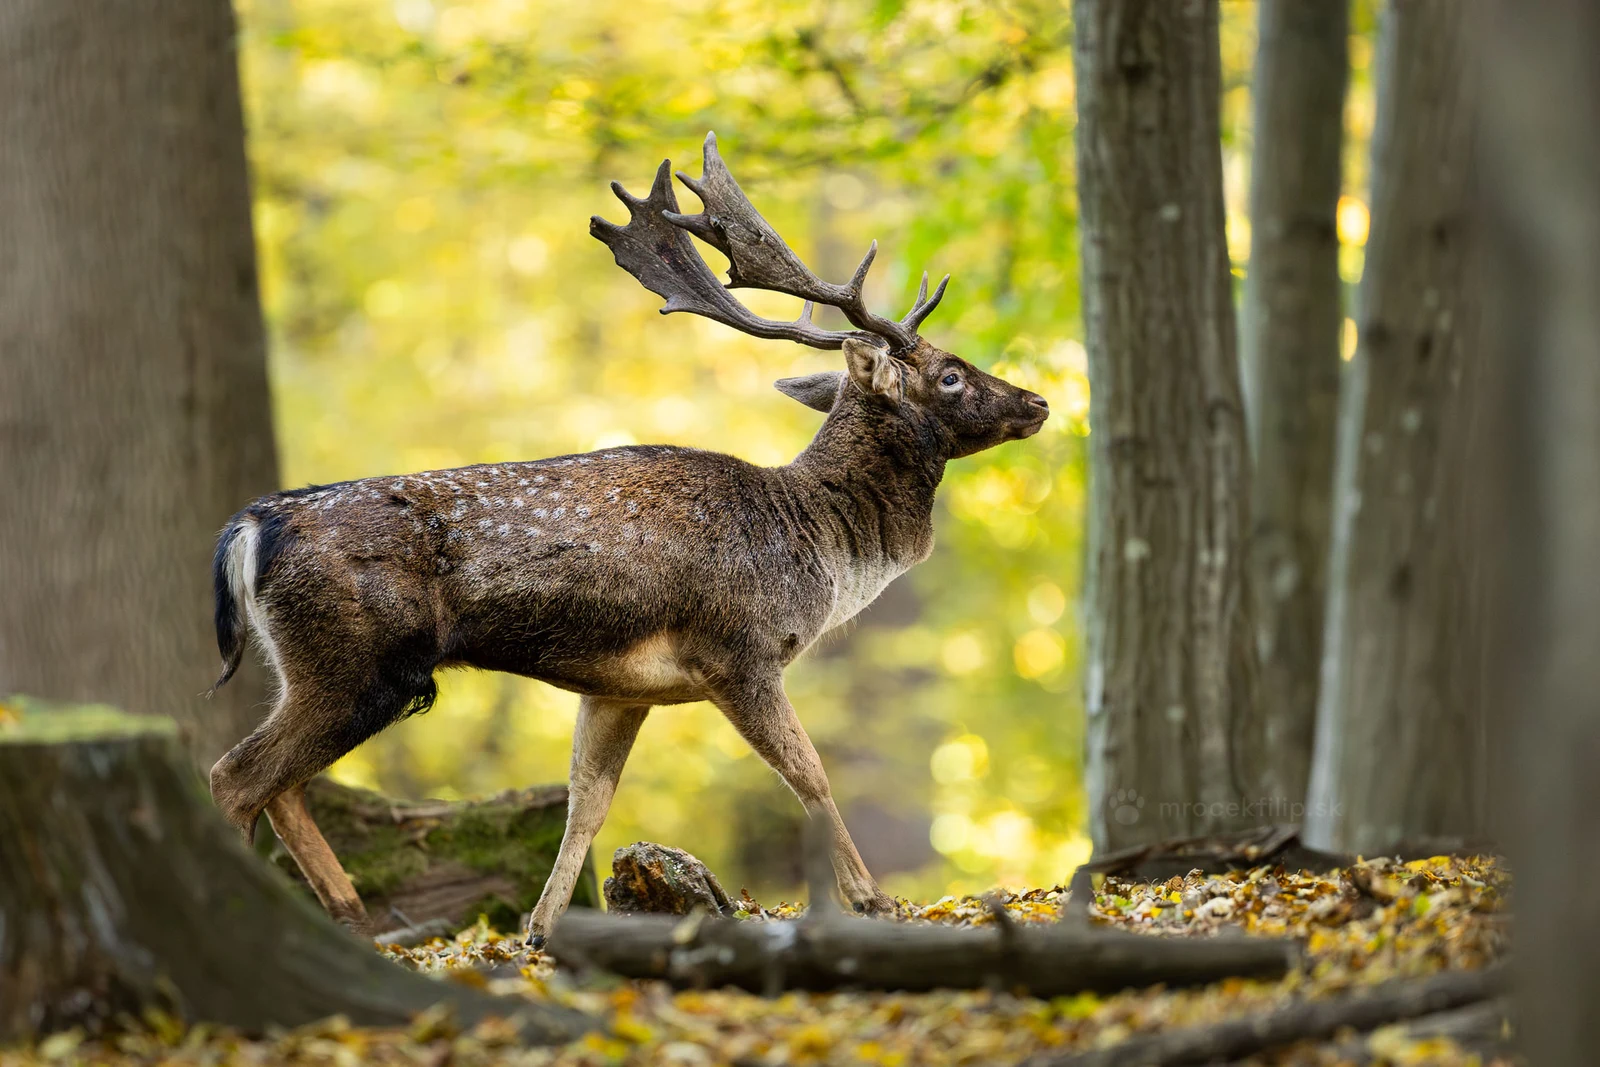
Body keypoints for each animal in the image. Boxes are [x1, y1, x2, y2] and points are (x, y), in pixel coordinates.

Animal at [206, 132, 1048, 946]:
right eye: (950, 374)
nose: (1037, 400)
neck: (820, 541)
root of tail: (248, 526)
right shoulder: (737, 648)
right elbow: (809, 773)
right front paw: (873, 900)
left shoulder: (620, 686)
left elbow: (589, 799)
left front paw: (542, 928)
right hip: (355, 660)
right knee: (237, 775)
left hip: (327, 666)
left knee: (279, 784)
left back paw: (349, 917)